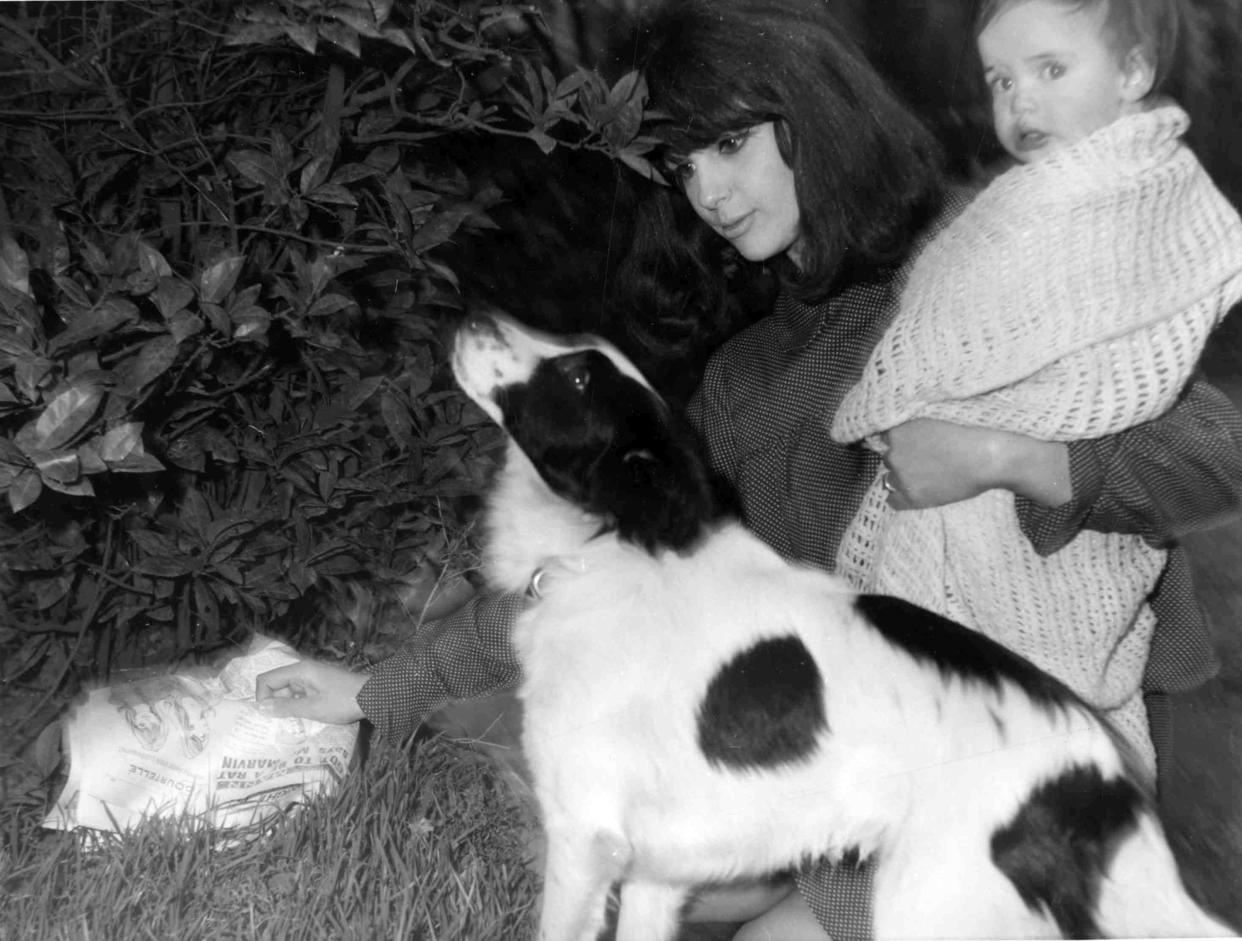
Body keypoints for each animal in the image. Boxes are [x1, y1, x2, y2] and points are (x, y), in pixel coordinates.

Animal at [452, 312, 1227, 941]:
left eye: (578, 376)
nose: (471, 315)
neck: (607, 544)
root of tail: (1099, 779)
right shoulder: (656, 871)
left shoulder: (583, 837)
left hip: (929, 907)